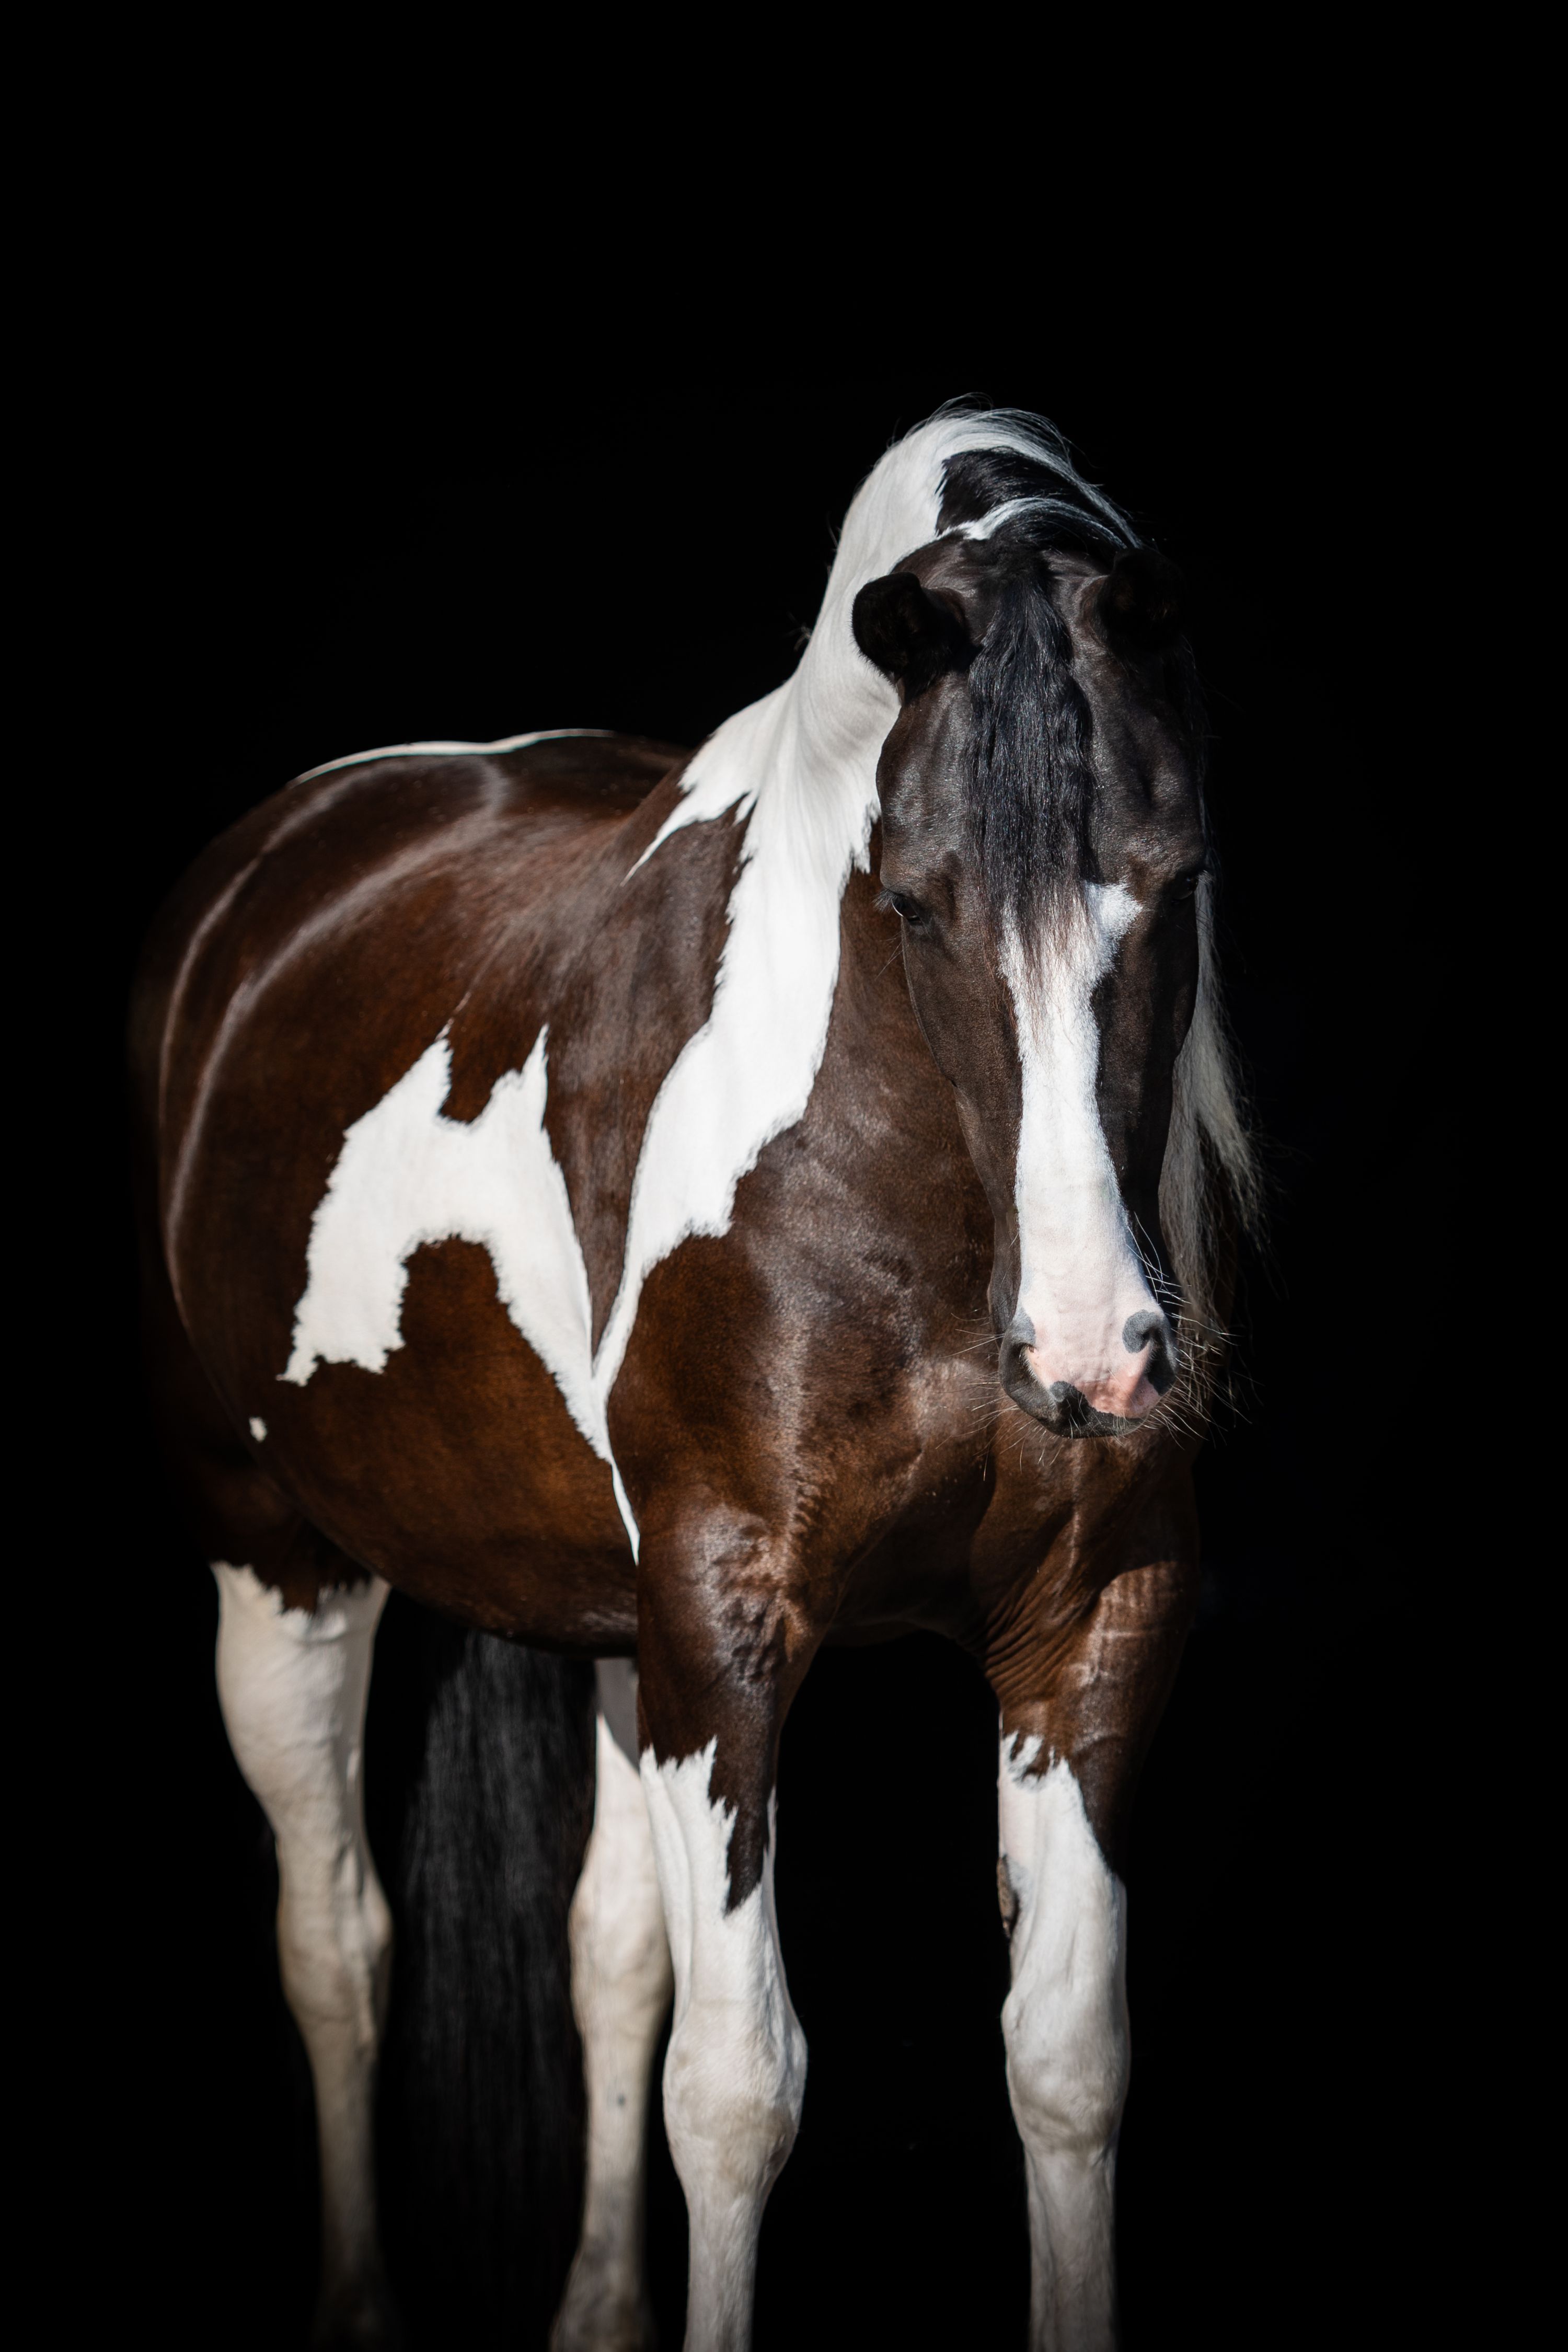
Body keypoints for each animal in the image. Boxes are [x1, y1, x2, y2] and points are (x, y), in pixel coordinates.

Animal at [131, 402, 1257, 2352]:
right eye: (916, 906)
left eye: (1174, 883)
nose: (1093, 1356)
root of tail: (273, 865)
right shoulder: (731, 1629)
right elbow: (736, 2097)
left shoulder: (1092, 1622)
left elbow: (1065, 2066)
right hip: (281, 1557)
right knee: (336, 1941)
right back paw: (358, 2300)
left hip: (608, 1624)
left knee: (601, 1956)